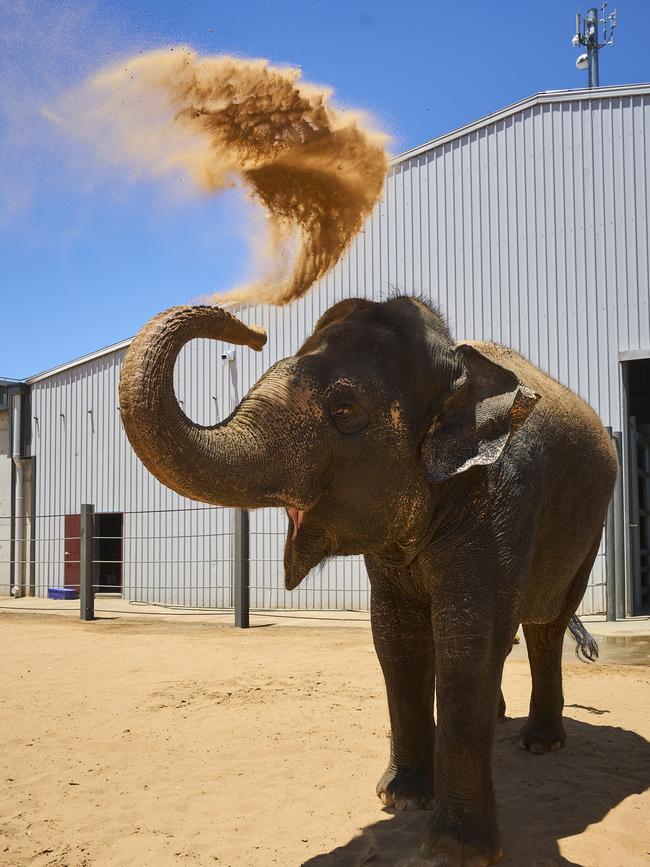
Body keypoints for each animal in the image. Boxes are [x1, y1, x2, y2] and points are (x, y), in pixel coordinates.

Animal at [119, 294, 616, 864]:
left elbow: (470, 638)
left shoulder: (504, 498)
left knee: (545, 626)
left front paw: (454, 850)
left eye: (345, 412)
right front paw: (399, 799)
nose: (253, 332)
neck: (455, 368)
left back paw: (539, 742)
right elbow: (396, 639)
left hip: (590, 528)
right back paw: (500, 721)